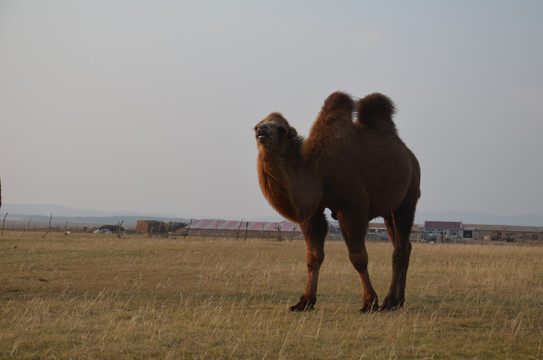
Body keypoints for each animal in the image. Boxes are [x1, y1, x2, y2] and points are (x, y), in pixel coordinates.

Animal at [255, 90, 420, 312]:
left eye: (282, 129)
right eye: (258, 124)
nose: (261, 130)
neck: (319, 171)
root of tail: (410, 156)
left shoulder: (352, 206)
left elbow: (358, 257)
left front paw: (369, 302)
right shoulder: (313, 212)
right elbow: (313, 256)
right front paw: (304, 302)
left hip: (408, 198)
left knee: (399, 248)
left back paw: (389, 301)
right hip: (389, 210)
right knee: (405, 246)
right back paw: (398, 300)